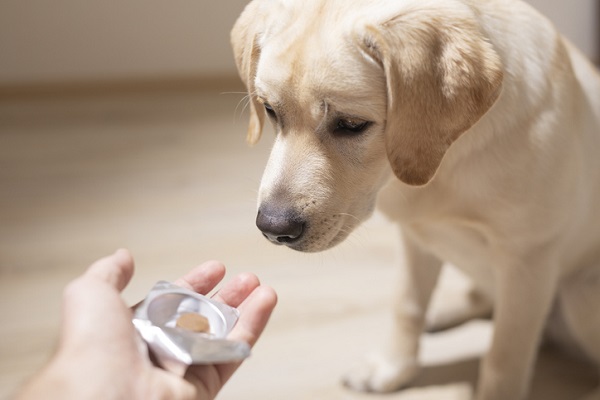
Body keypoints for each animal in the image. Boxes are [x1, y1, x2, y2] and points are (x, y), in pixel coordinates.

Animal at [231, 1, 600, 398]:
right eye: (270, 111)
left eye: (351, 124)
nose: (273, 228)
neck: (444, 161)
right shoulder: (416, 235)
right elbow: (406, 306)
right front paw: (392, 368)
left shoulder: (527, 259)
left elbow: (504, 356)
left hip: (579, 297)